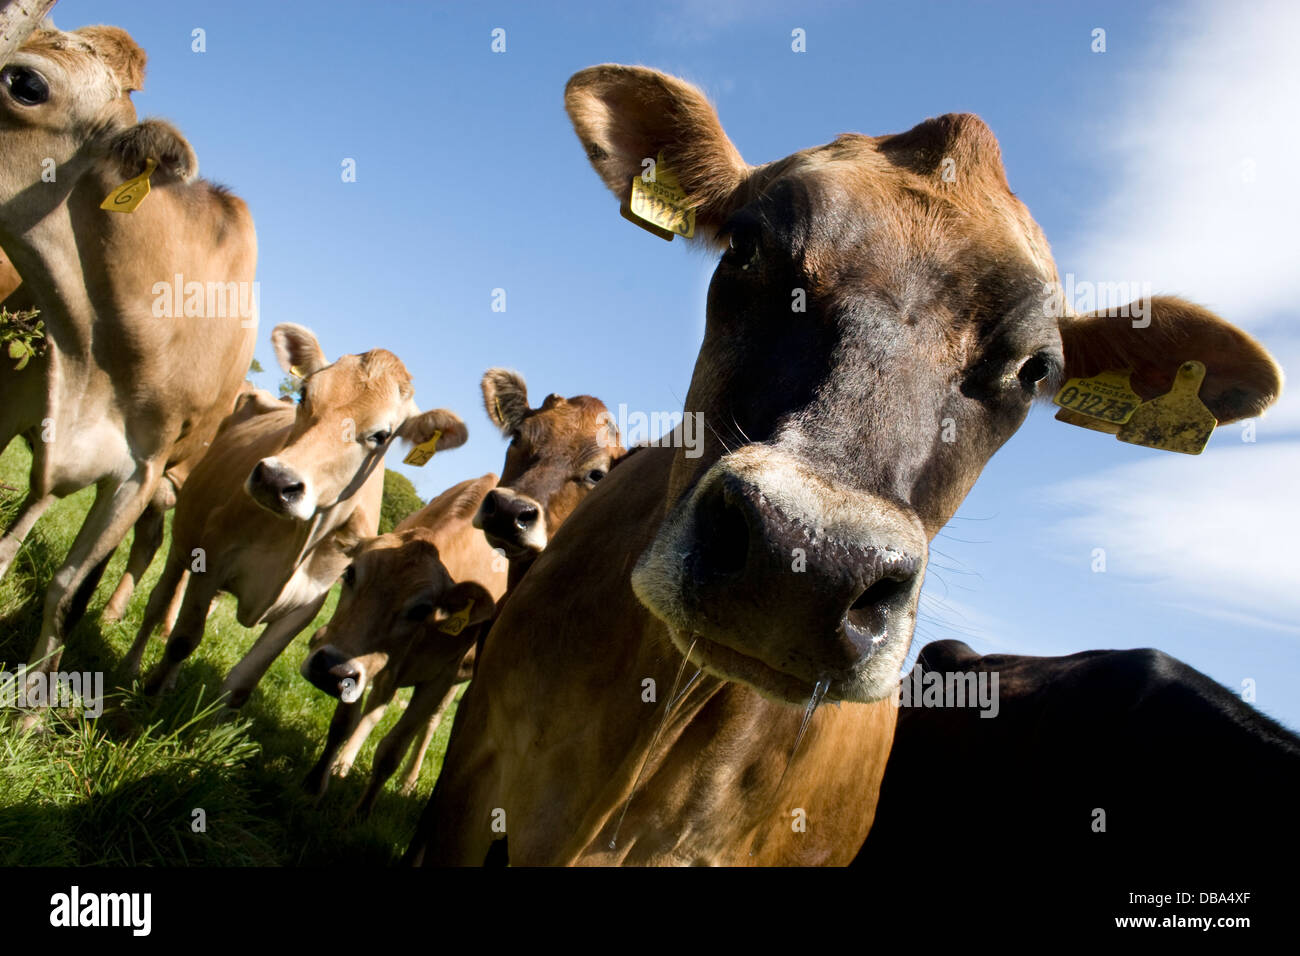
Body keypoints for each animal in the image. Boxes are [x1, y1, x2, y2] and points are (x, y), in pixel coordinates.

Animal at [120, 325, 467, 707]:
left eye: (381, 435)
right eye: (304, 395)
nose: (276, 480)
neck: (301, 539)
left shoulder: (306, 606)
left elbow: (242, 684)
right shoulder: (210, 560)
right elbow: (182, 640)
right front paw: (149, 700)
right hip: (183, 540)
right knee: (157, 602)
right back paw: (131, 667)